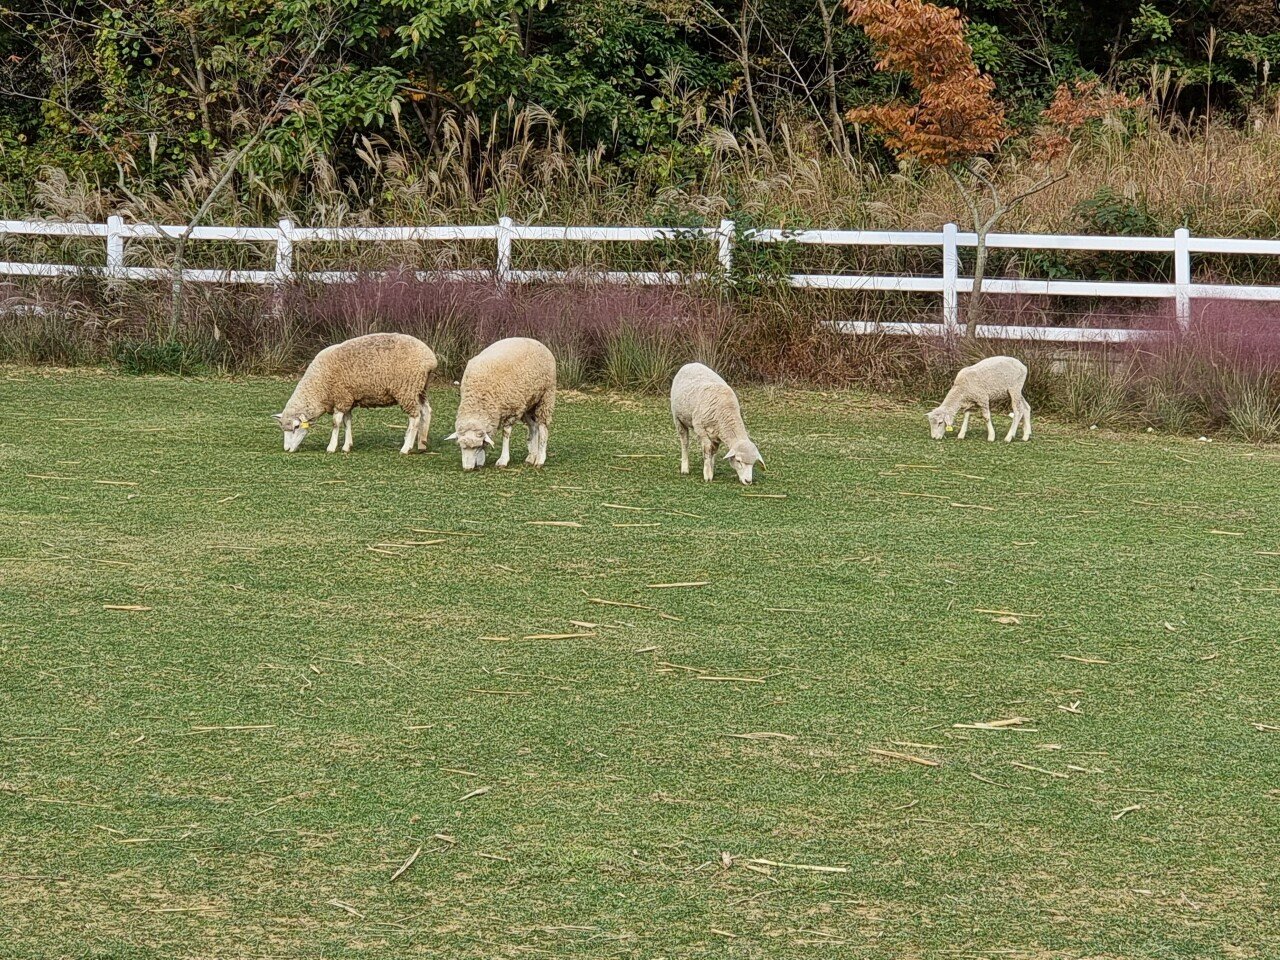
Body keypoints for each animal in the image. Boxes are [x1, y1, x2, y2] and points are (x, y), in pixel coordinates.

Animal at [272, 335, 437, 455]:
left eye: (296, 426)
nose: (287, 449)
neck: (319, 387)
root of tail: (431, 359)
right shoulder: (348, 399)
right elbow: (347, 422)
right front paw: (347, 446)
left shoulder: (341, 398)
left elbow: (336, 423)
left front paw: (331, 447)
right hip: (420, 389)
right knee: (426, 411)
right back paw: (422, 444)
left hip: (407, 389)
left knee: (414, 417)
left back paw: (406, 448)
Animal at [445, 337, 555, 473]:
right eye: (461, 446)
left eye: (477, 446)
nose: (467, 468)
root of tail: (536, 341)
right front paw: (481, 461)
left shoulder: (512, 410)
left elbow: (506, 434)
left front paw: (503, 460)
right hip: (528, 402)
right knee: (533, 427)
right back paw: (531, 457)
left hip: (546, 396)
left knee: (543, 428)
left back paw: (540, 459)